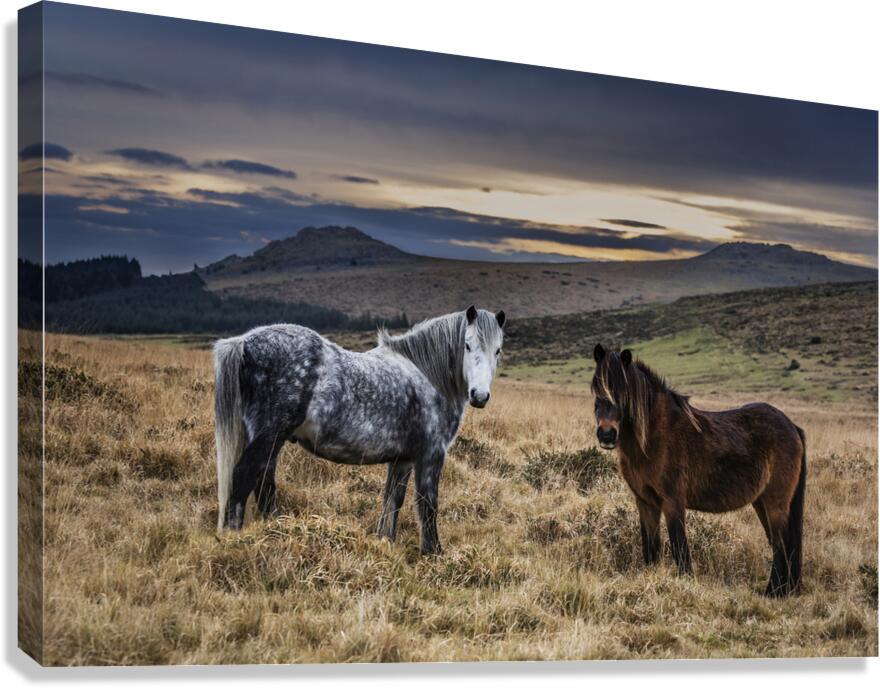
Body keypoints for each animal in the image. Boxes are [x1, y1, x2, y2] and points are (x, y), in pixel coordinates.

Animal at [213, 305, 506, 554]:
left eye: (498, 350)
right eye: (467, 344)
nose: (479, 395)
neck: (427, 376)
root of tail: (244, 342)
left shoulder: (403, 459)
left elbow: (392, 500)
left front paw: (385, 542)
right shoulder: (431, 455)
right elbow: (428, 504)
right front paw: (433, 553)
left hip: (270, 441)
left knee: (263, 483)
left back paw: (278, 529)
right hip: (269, 436)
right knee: (243, 478)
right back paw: (236, 537)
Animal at [590, 344, 806, 597]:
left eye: (624, 391)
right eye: (596, 387)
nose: (607, 434)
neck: (654, 436)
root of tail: (792, 426)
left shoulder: (673, 502)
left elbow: (679, 548)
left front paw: (686, 584)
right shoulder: (645, 502)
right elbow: (650, 548)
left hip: (775, 502)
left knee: (782, 545)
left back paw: (773, 592)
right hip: (761, 502)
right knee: (781, 544)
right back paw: (784, 591)